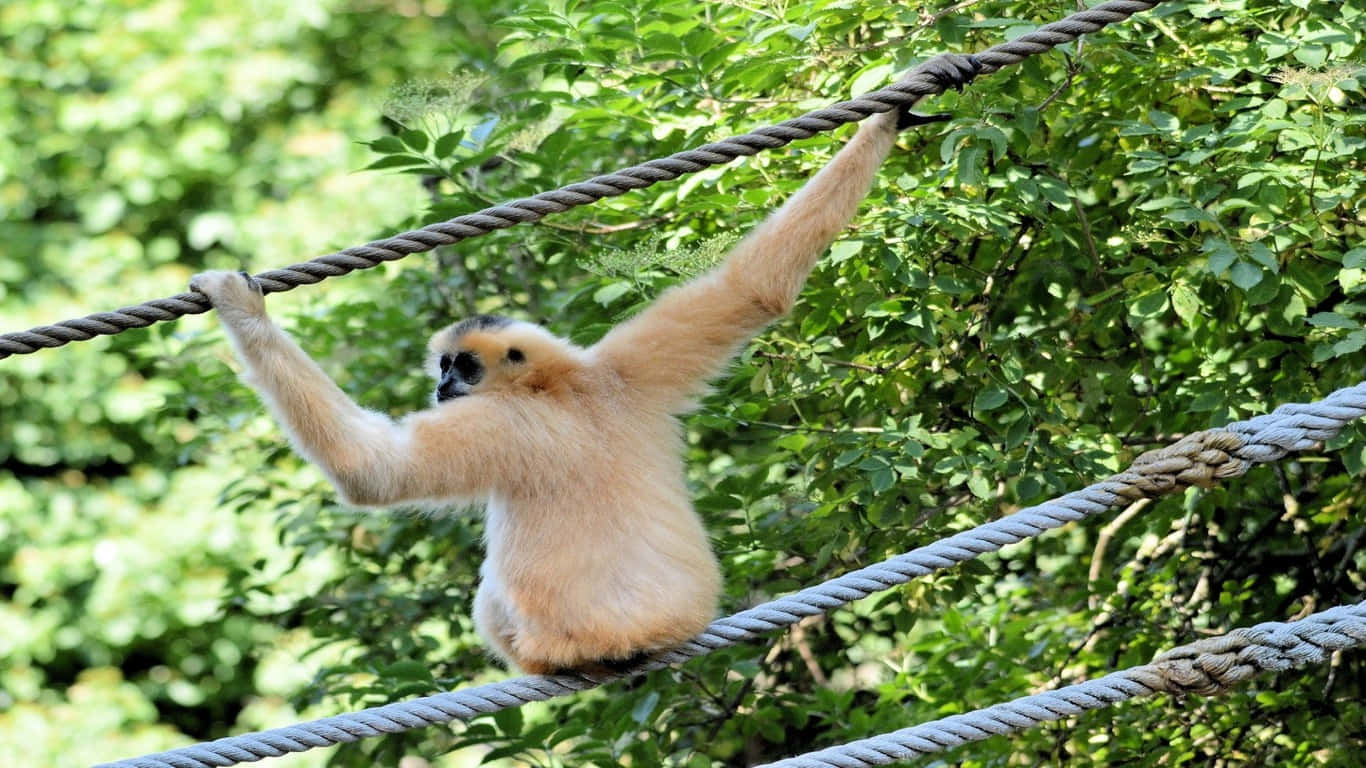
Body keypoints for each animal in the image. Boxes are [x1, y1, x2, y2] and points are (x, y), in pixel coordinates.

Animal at [190, 55, 981, 674]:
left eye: (459, 368)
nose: (442, 384)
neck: (558, 385)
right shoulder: (623, 370)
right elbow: (750, 289)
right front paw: (893, 115)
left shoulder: (496, 421)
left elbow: (372, 470)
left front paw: (242, 309)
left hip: (545, 634)